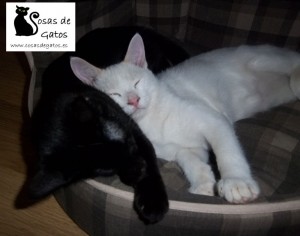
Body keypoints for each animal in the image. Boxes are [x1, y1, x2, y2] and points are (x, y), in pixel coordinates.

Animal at [27, 26, 188, 224]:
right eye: (105, 169)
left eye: (136, 83)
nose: (133, 100)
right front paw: (134, 173)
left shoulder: (131, 128)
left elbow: (149, 153)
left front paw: (153, 200)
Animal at [69, 34, 300, 204]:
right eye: (115, 95)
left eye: (137, 82)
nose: (134, 100)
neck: (152, 120)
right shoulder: (187, 148)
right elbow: (186, 157)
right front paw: (203, 182)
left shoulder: (214, 120)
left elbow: (227, 151)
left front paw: (236, 181)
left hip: (261, 60)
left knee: (293, 62)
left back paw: (296, 78)